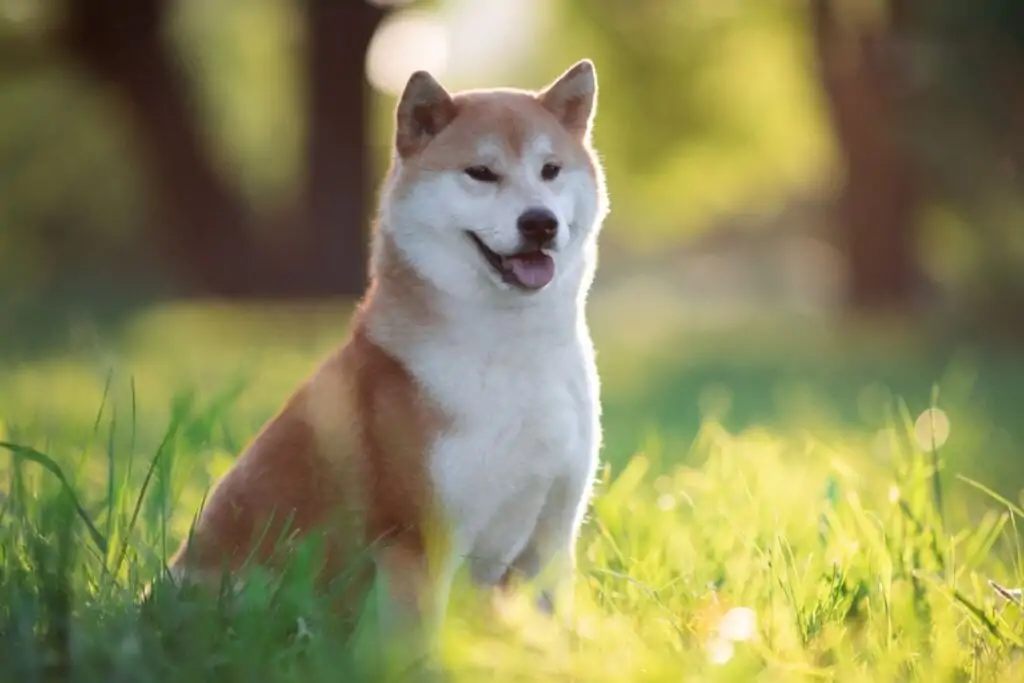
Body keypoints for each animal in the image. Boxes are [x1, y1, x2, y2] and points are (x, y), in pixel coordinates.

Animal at [166, 57, 606, 634]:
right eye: (481, 173)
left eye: (550, 169)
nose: (539, 222)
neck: (515, 353)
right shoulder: (419, 541)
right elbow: (417, 641)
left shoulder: (550, 539)